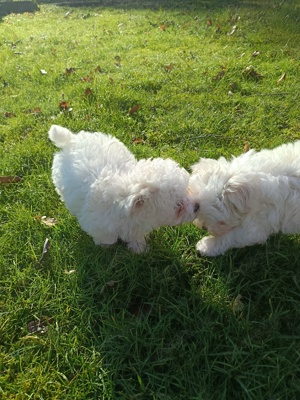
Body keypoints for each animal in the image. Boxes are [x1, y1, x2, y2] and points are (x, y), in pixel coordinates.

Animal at [48, 124, 199, 253]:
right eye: (178, 206)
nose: (197, 206)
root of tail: (71, 139)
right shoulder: (100, 225)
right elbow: (106, 238)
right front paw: (106, 247)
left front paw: (139, 248)